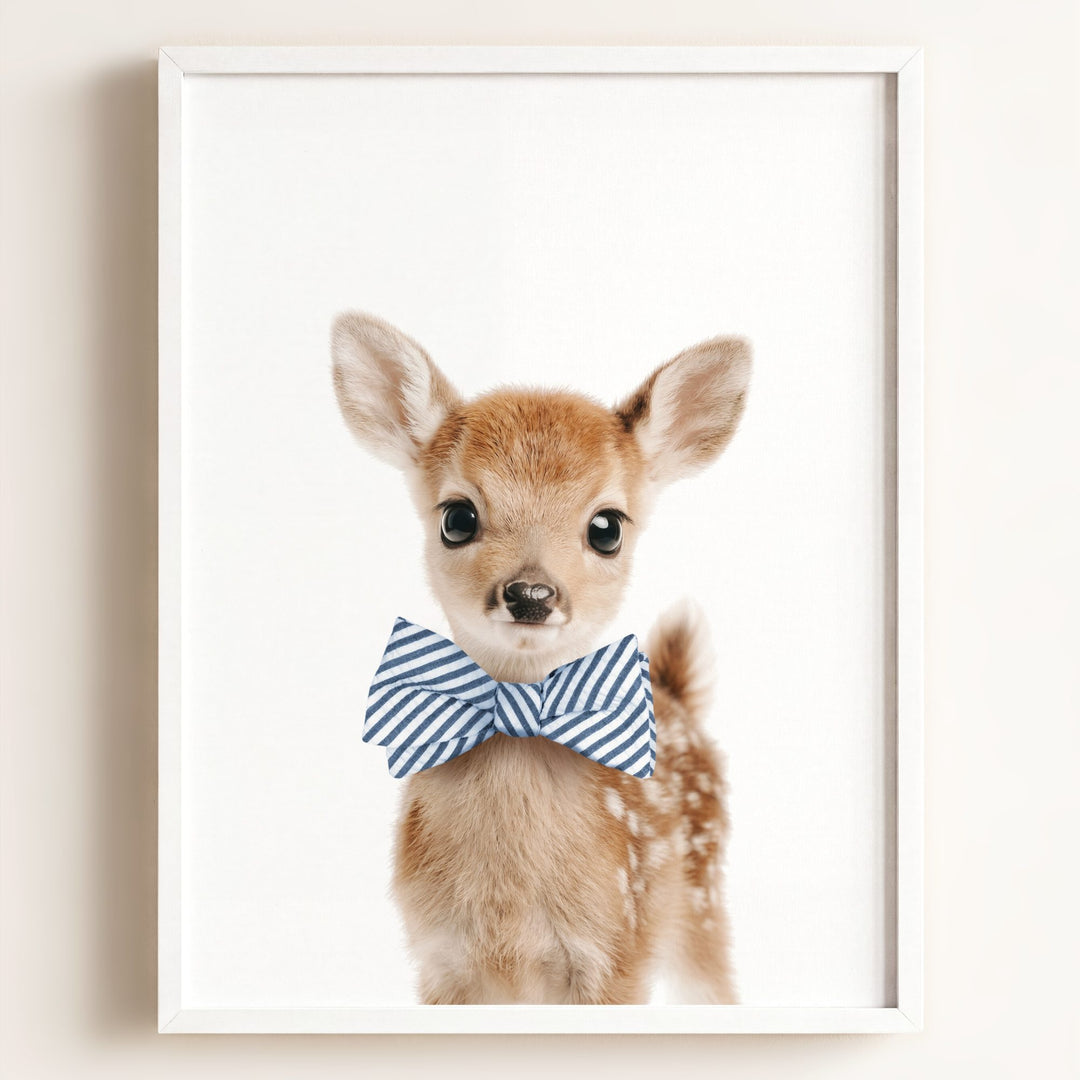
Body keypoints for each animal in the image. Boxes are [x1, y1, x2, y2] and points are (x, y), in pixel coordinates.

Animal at [331, 311, 751, 1005]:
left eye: (607, 527)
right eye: (457, 517)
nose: (531, 594)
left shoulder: (617, 953)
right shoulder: (439, 961)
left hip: (703, 903)